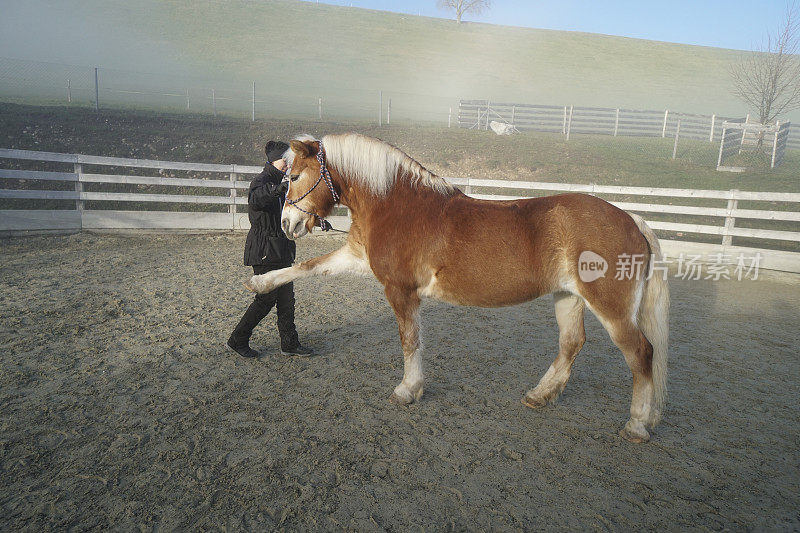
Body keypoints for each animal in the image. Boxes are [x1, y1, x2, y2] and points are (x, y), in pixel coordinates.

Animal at [247, 133, 672, 440]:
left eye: (294, 177)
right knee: (572, 343)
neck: (396, 204)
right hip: (568, 296)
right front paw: (260, 280)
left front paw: (408, 390)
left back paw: (637, 425)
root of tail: (633, 220)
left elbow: (410, 340)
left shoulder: (400, 290)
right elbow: (308, 267)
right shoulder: (356, 257)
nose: (287, 224)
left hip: (610, 307)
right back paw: (540, 396)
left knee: (641, 353)